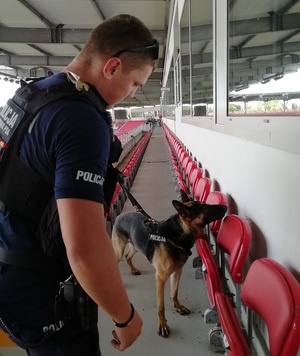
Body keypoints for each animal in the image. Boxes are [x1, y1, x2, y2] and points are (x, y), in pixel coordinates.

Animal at [111, 189, 226, 336]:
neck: (177, 234)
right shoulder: (160, 278)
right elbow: (161, 306)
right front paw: (162, 325)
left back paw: (133, 269)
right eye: (205, 207)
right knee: (117, 260)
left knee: (128, 256)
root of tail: (120, 215)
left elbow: (174, 292)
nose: (225, 206)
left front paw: (178, 307)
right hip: (119, 250)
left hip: (136, 246)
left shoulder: (177, 271)